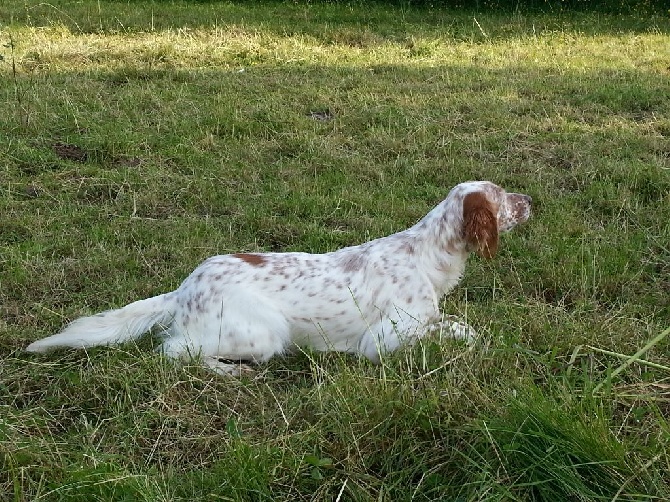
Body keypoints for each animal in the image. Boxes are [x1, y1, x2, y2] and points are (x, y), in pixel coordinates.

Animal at [26, 180, 532, 372]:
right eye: (503, 196)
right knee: (175, 352)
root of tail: (186, 287)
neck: (425, 253)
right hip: (265, 334)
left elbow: (457, 324)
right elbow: (455, 331)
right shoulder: (383, 342)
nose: (530, 199)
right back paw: (228, 372)